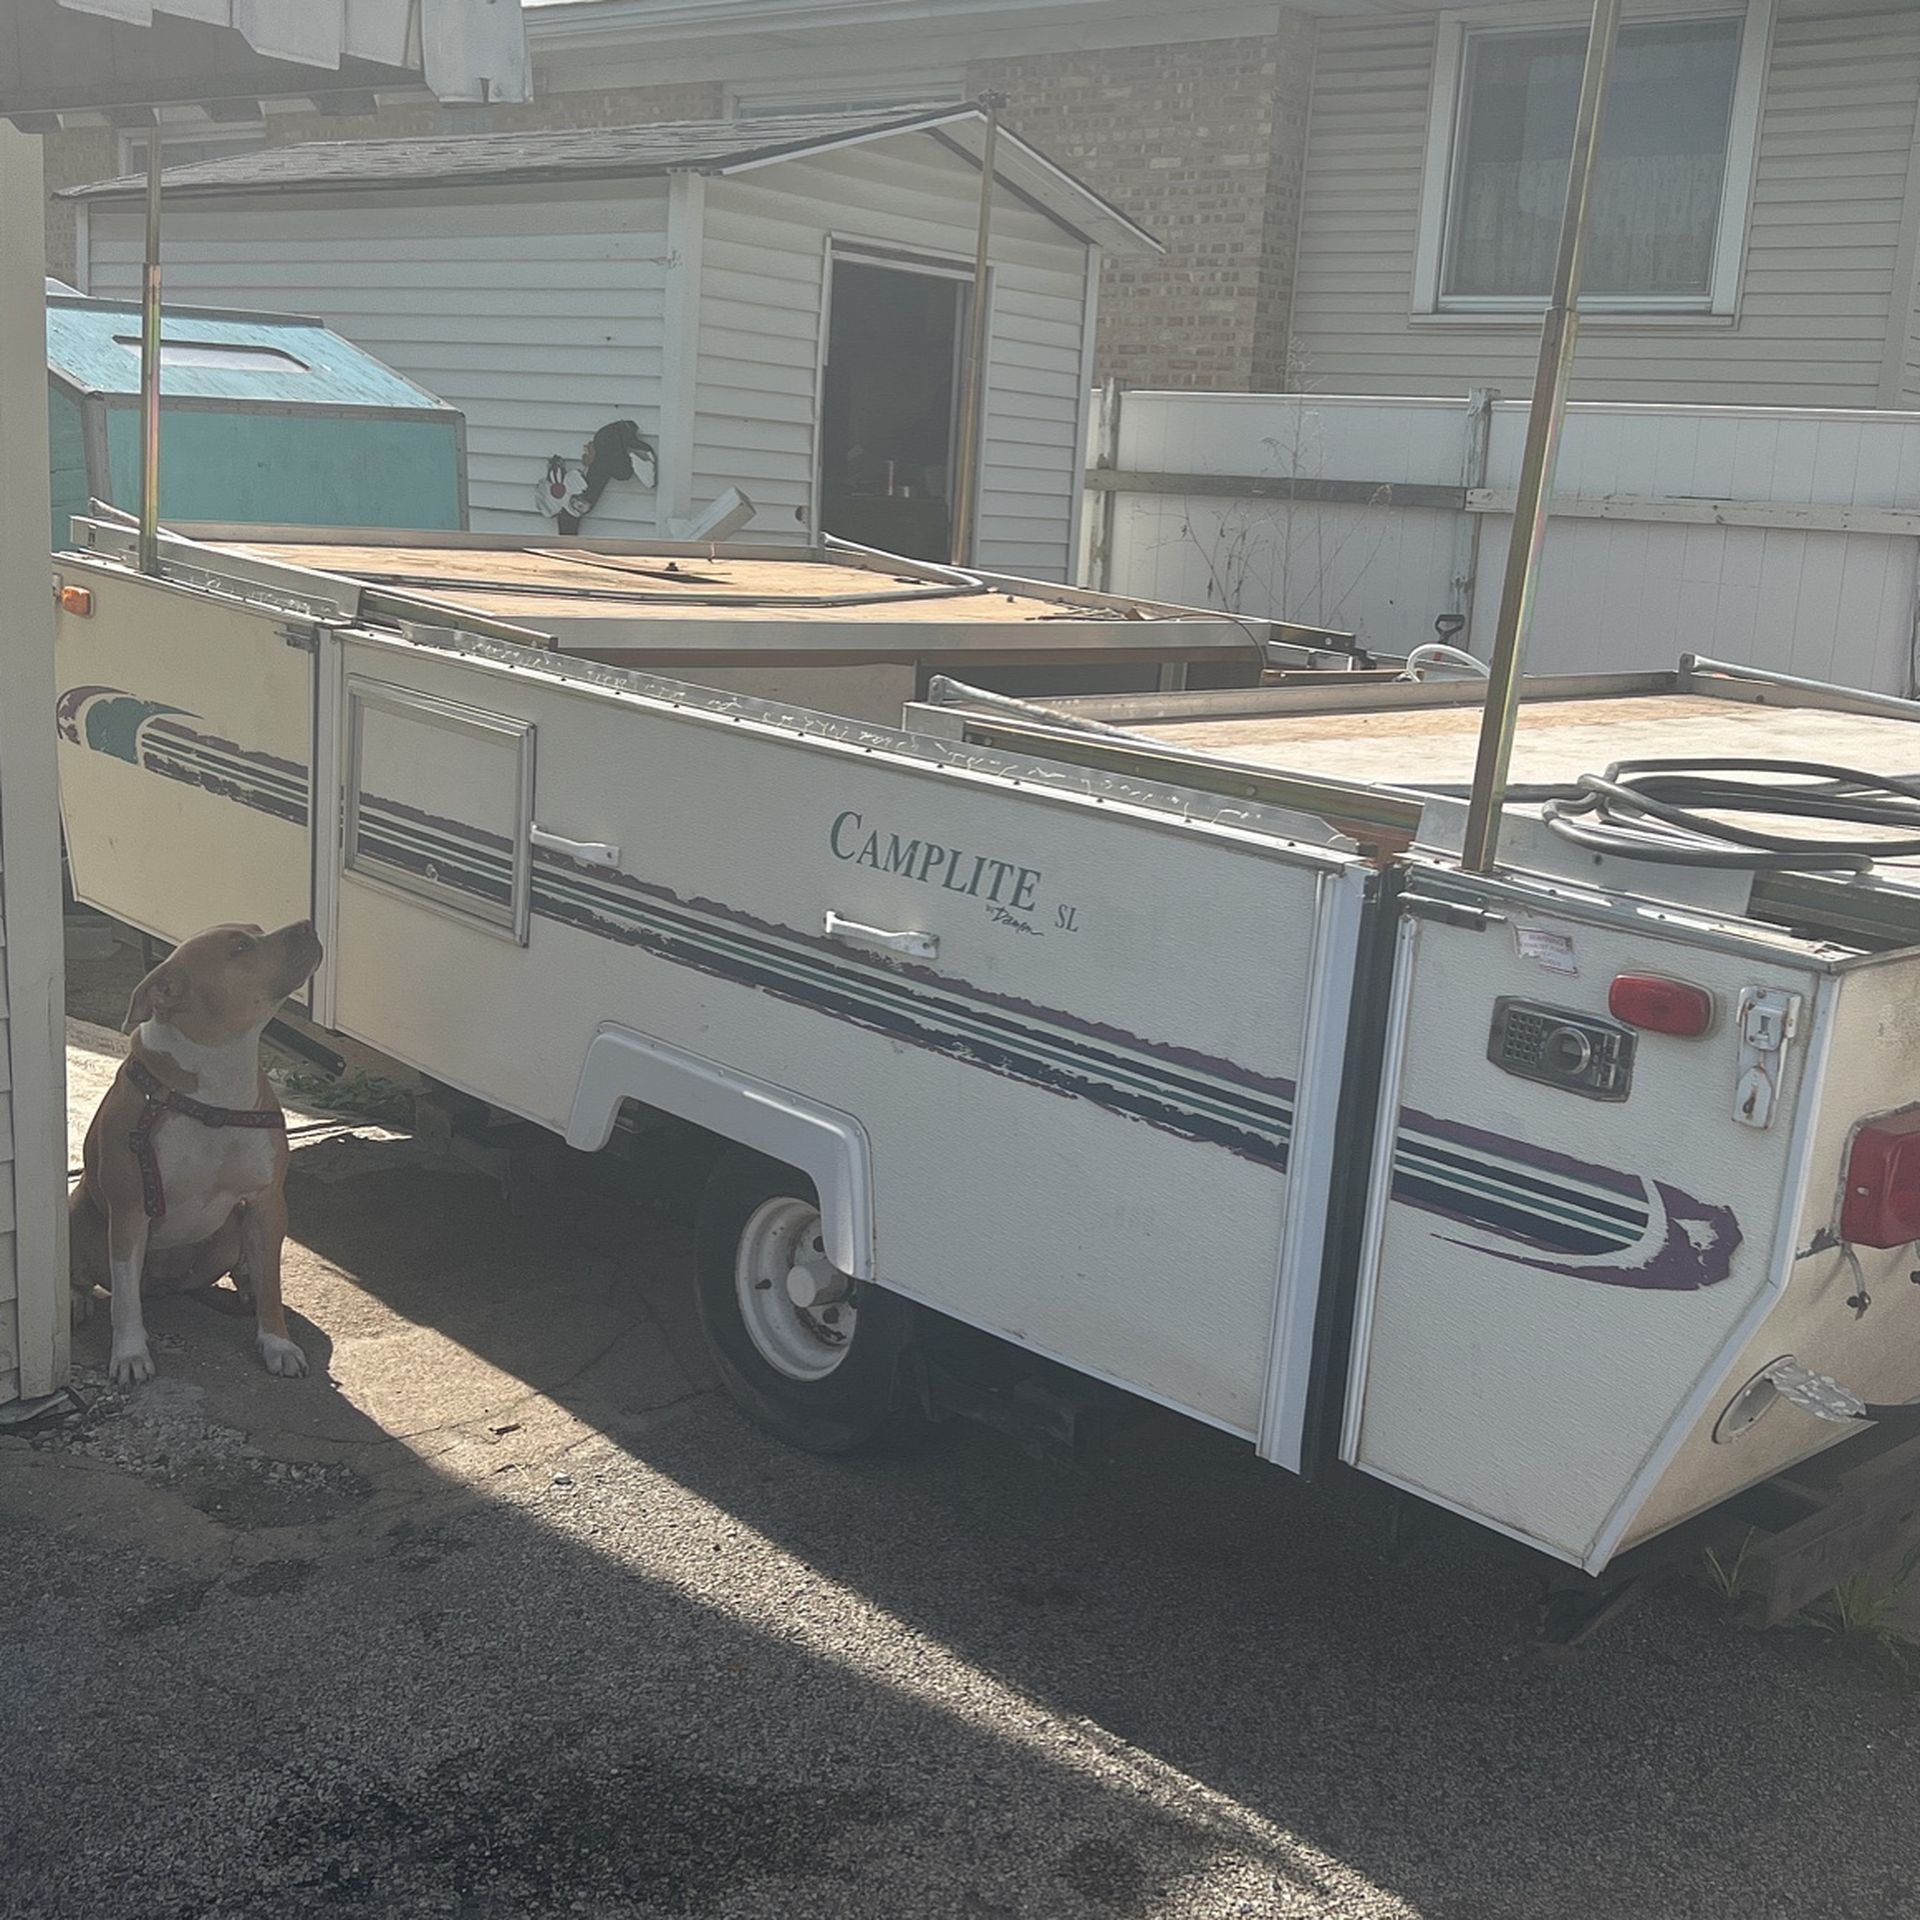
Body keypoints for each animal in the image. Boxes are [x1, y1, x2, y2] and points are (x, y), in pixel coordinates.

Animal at [72, 917, 326, 1382]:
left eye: (256, 928)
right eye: (240, 946)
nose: (306, 924)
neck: (216, 1085)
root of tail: (168, 1285)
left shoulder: (266, 1204)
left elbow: (272, 1284)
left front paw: (276, 1342)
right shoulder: (130, 1211)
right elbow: (125, 1301)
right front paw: (130, 1354)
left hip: (233, 1232)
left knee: (248, 1273)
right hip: (78, 1215)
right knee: (87, 1276)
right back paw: (77, 1300)